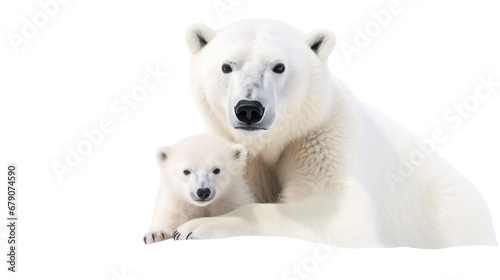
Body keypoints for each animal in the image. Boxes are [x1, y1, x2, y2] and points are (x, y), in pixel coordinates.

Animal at [174, 18, 498, 248]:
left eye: (279, 66)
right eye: (227, 66)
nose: (250, 109)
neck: (274, 141)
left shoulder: (323, 135)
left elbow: (338, 214)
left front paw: (194, 228)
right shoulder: (239, 151)